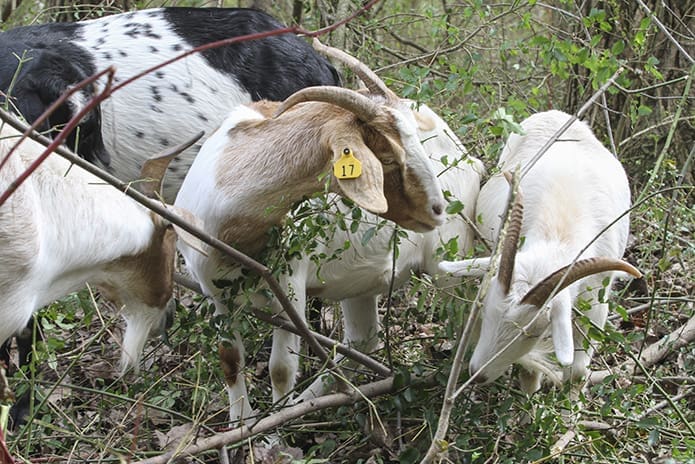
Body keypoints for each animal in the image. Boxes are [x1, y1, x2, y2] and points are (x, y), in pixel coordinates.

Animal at [175, 58, 449, 423]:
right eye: (388, 157)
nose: (438, 209)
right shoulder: (213, 291)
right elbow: (230, 360)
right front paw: (241, 422)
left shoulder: (290, 284)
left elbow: (280, 368)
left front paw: (276, 424)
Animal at [439, 110, 641, 393]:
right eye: (486, 308)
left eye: (535, 331)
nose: (477, 374)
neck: (557, 233)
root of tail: (555, 114)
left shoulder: (595, 300)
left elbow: (577, 371)